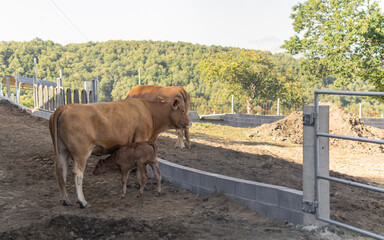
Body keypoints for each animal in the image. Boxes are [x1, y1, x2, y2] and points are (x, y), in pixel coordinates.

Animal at [49, 97, 190, 208]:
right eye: (183, 110)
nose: (189, 123)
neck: (149, 111)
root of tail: (65, 107)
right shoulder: (141, 138)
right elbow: (139, 169)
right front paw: (141, 185)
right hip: (81, 153)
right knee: (77, 174)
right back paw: (83, 202)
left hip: (62, 152)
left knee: (61, 173)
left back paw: (66, 200)